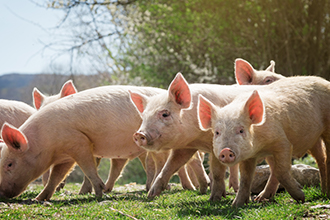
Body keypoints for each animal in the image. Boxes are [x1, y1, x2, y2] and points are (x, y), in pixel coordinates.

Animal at [0, 84, 208, 201]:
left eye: (9, 164)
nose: (1, 192)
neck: (47, 142)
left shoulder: (79, 141)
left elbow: (87, 167)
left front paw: (98, 194)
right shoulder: (65, 156)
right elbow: (55, 177)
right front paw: (38, 199)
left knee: (192, 160)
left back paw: (197, 189)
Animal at [129, 72, 266, 201]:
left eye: (165, 114)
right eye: (144, 116)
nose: (139, 134)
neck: (199, 139)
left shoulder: (216, 145)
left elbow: (217, 172)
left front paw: (214, 199)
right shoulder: (186, 147)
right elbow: (170, 166)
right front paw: (151, 195)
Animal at [196, 75, 330, 206]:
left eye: (241, 130)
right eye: (217, 132)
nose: (225, 150)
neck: (261, 147)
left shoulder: (282, 142)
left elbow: (281, 171)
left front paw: (301, 198)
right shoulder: (249, 156)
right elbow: (245, 178)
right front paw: (236, 205)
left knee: (325, 159)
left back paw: (325, 194)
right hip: (314, 139)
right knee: (321, 160)